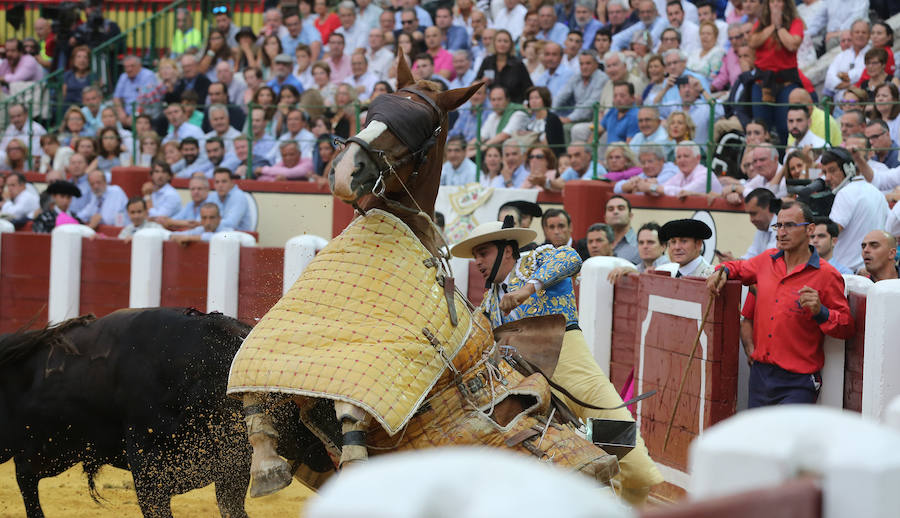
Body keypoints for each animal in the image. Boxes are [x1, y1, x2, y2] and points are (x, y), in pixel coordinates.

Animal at [0, 308, 330, 518]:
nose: (327, 460)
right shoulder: (149, 474)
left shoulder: (230, 472)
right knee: (25, 480)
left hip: (54, 450)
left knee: (26, 476)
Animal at [227, 49, 620, 500]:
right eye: (375, 107)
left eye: (422, 124)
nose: (345, 169)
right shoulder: (282, 350)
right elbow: (254, 388)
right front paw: (267, 466)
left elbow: (350, 410)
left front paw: (348, 462)